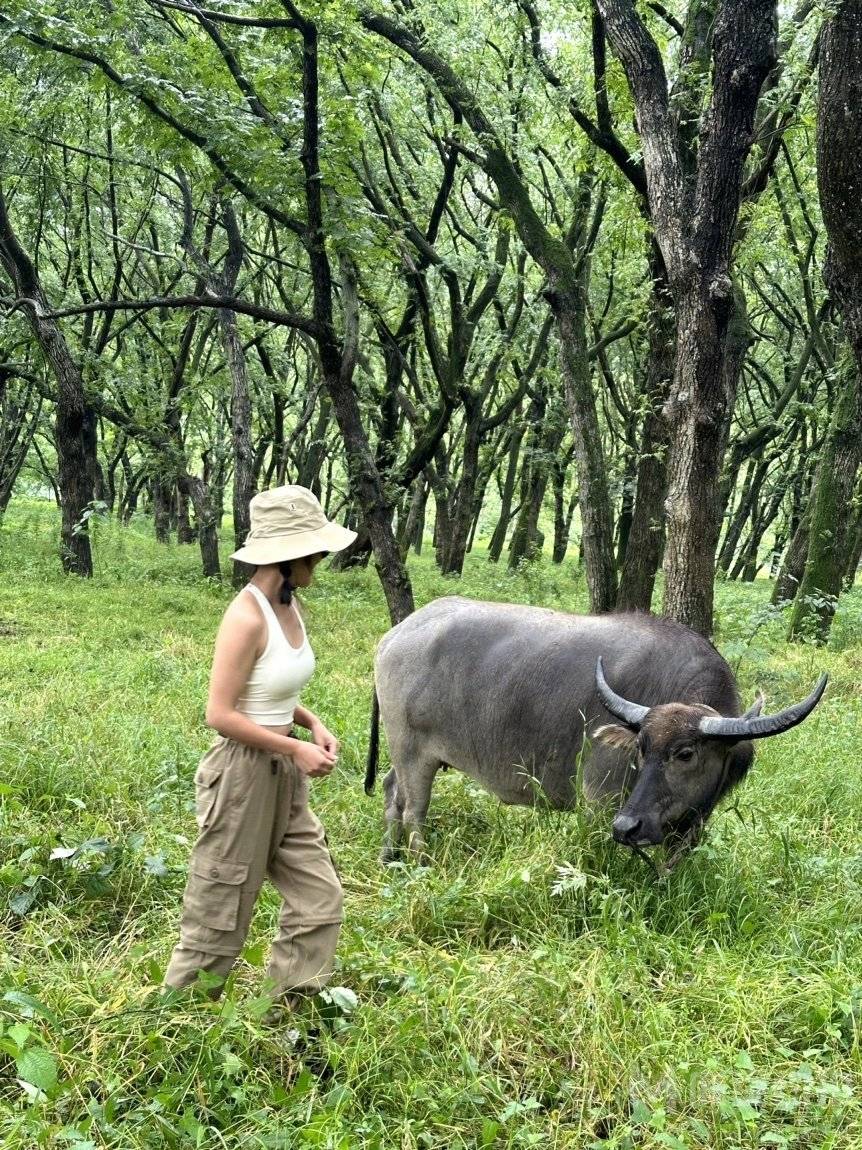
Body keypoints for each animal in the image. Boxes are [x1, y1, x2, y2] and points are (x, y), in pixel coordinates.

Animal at [365, 598, 832, 860]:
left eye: (685, 753)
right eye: (640, 747)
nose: (628, 827)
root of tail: (395, 635)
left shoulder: (689, 825)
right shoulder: (599, 803)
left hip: (405, 753)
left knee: (391, 792)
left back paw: (389, 857)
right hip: (412, 753)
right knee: (413, 810)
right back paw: (421, 863)